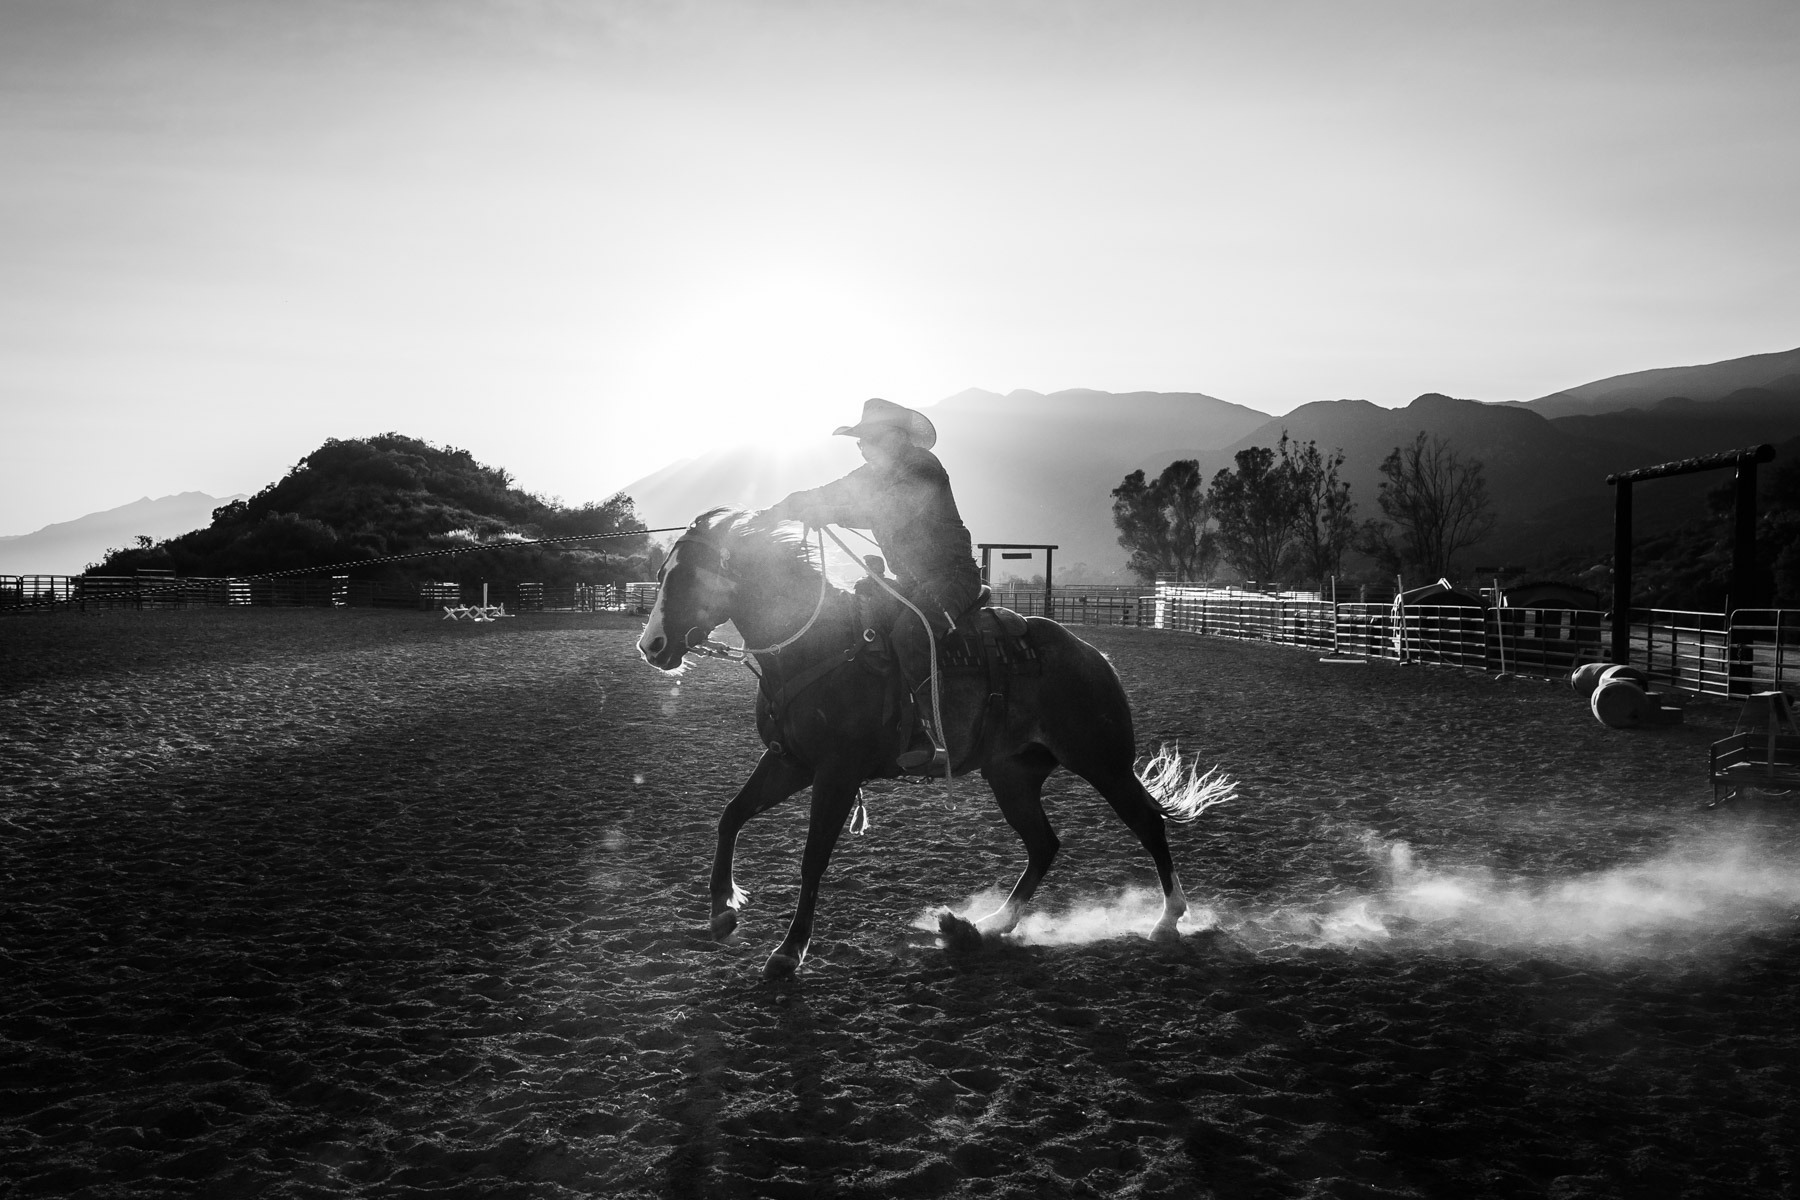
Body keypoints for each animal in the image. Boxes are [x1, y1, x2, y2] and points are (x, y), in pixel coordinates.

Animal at [637, 510, 1238, 978]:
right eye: (662, 575)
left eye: (686, 577)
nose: (652, 646)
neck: (818, 643)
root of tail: (1094, 657)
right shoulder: (790, 763)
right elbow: (731, 816)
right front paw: (722, 911)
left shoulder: (836, 773)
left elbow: (812, 860)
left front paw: (788, 952)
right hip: (1012, 775)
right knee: (1044, 844)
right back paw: (990, 924)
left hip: (1102, 762)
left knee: (1147, 824)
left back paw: (1167, 920)